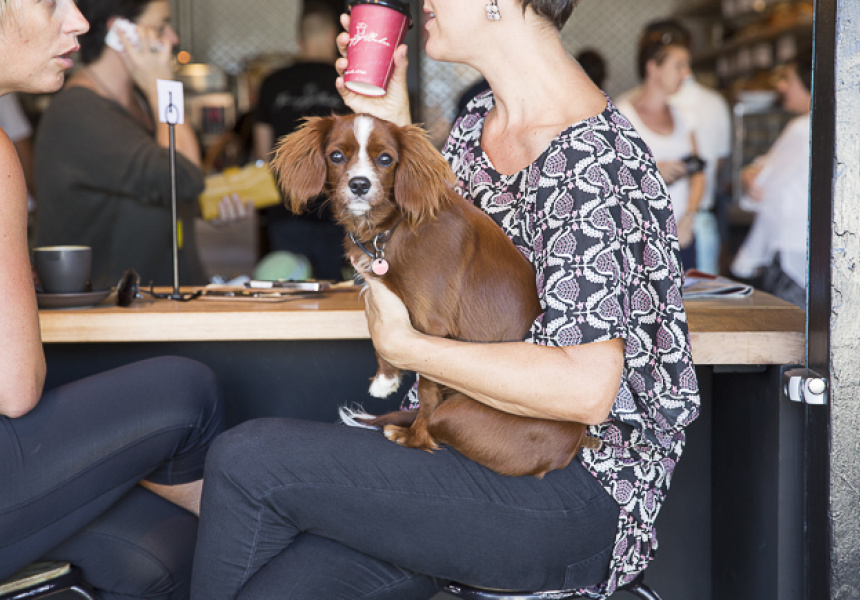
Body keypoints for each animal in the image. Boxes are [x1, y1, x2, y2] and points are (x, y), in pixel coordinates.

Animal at [271, 113, 597, 478]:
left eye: (386, 159)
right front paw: (385, 379)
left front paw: (415, 438)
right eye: (336, 156)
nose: (359, 185)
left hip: (455, 411)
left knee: (436, 413)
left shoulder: (432, 325)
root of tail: (573, 446)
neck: (392, 227)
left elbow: (425, 386)